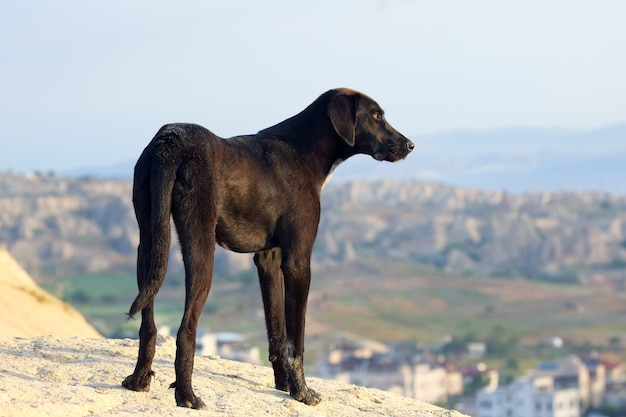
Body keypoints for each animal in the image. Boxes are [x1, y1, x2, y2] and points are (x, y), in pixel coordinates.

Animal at [122, 86, 414, 408]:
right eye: (376, 115)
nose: (410, 145)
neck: (303, 150)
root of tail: (169, 142)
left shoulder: (268, 259)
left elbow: (277, 332)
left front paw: (283, 385)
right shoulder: (298, 262)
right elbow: (296, 337)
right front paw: (302, 391)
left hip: (148, 244)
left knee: (147, 322)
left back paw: (138, 379)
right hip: (200, 247)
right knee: (186, 328)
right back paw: (186, 394)